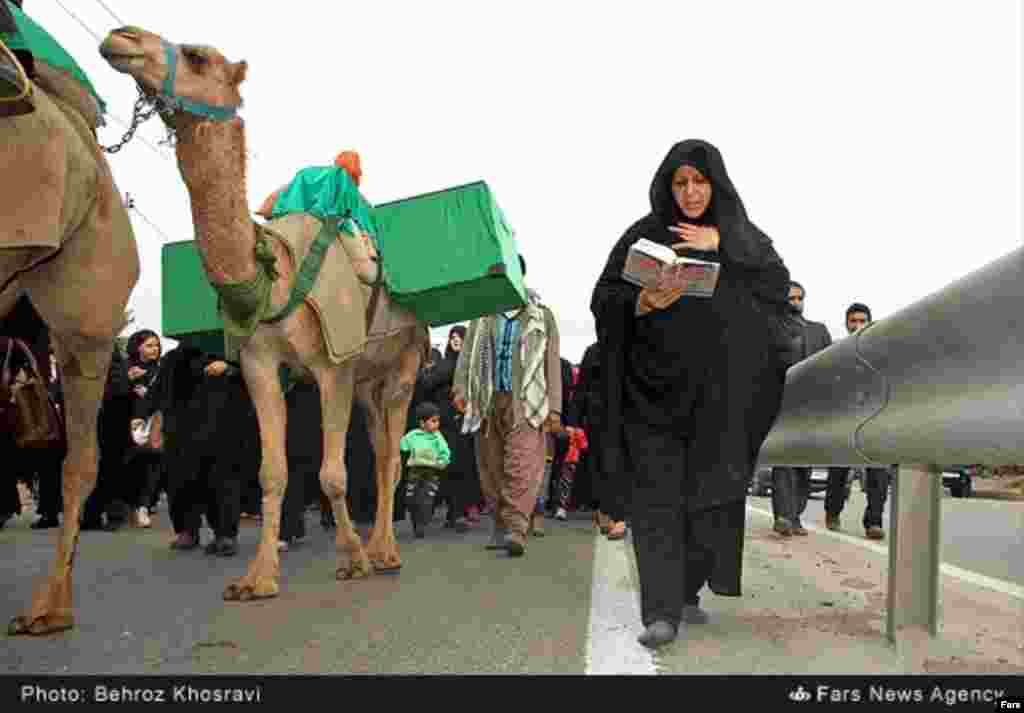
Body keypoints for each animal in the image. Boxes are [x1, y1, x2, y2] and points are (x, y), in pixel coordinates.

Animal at [99, 25, 428, 602]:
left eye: (197, 56)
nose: (123, 37)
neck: (276, 277)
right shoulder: (260, 363)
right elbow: (273, 471)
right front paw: (257, 578)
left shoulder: (332, 365)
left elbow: (332, 473)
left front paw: (352, 560)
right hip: (368, 379)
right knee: (379, 442)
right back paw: (376, 543)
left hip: (407, 358)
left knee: (390, 452)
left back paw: (385, 552)